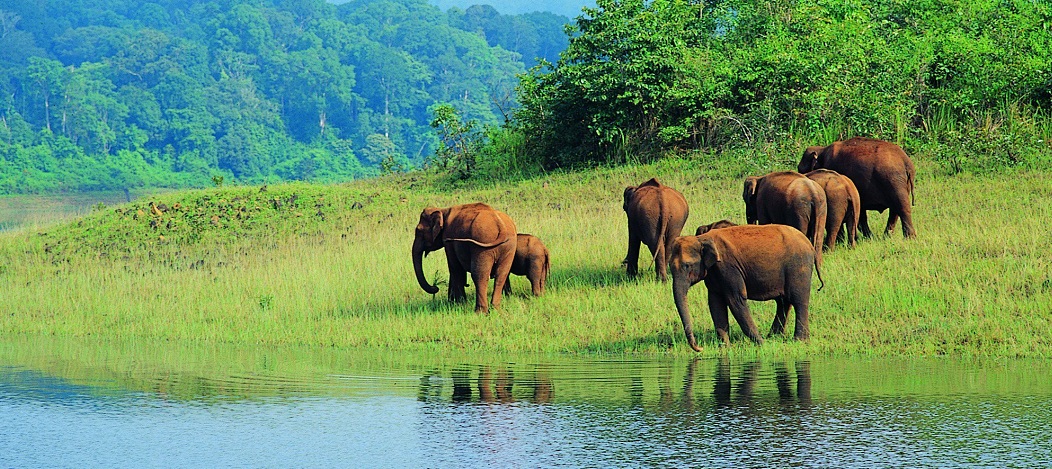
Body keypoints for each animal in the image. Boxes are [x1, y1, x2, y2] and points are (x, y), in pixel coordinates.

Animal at [669, 223, 824, 351]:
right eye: (670, 267)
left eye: (687, 265)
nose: (700, 348)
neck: (701, 239)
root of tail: (809, 244)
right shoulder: (714, 273)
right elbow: (715, 303)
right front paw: (725, 348)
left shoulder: (728, 267)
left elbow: (736, 300)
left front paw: (761, 344)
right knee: (783, 302)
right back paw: (773, 337)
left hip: (799, 266)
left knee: (798, 301)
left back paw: (799, 340)